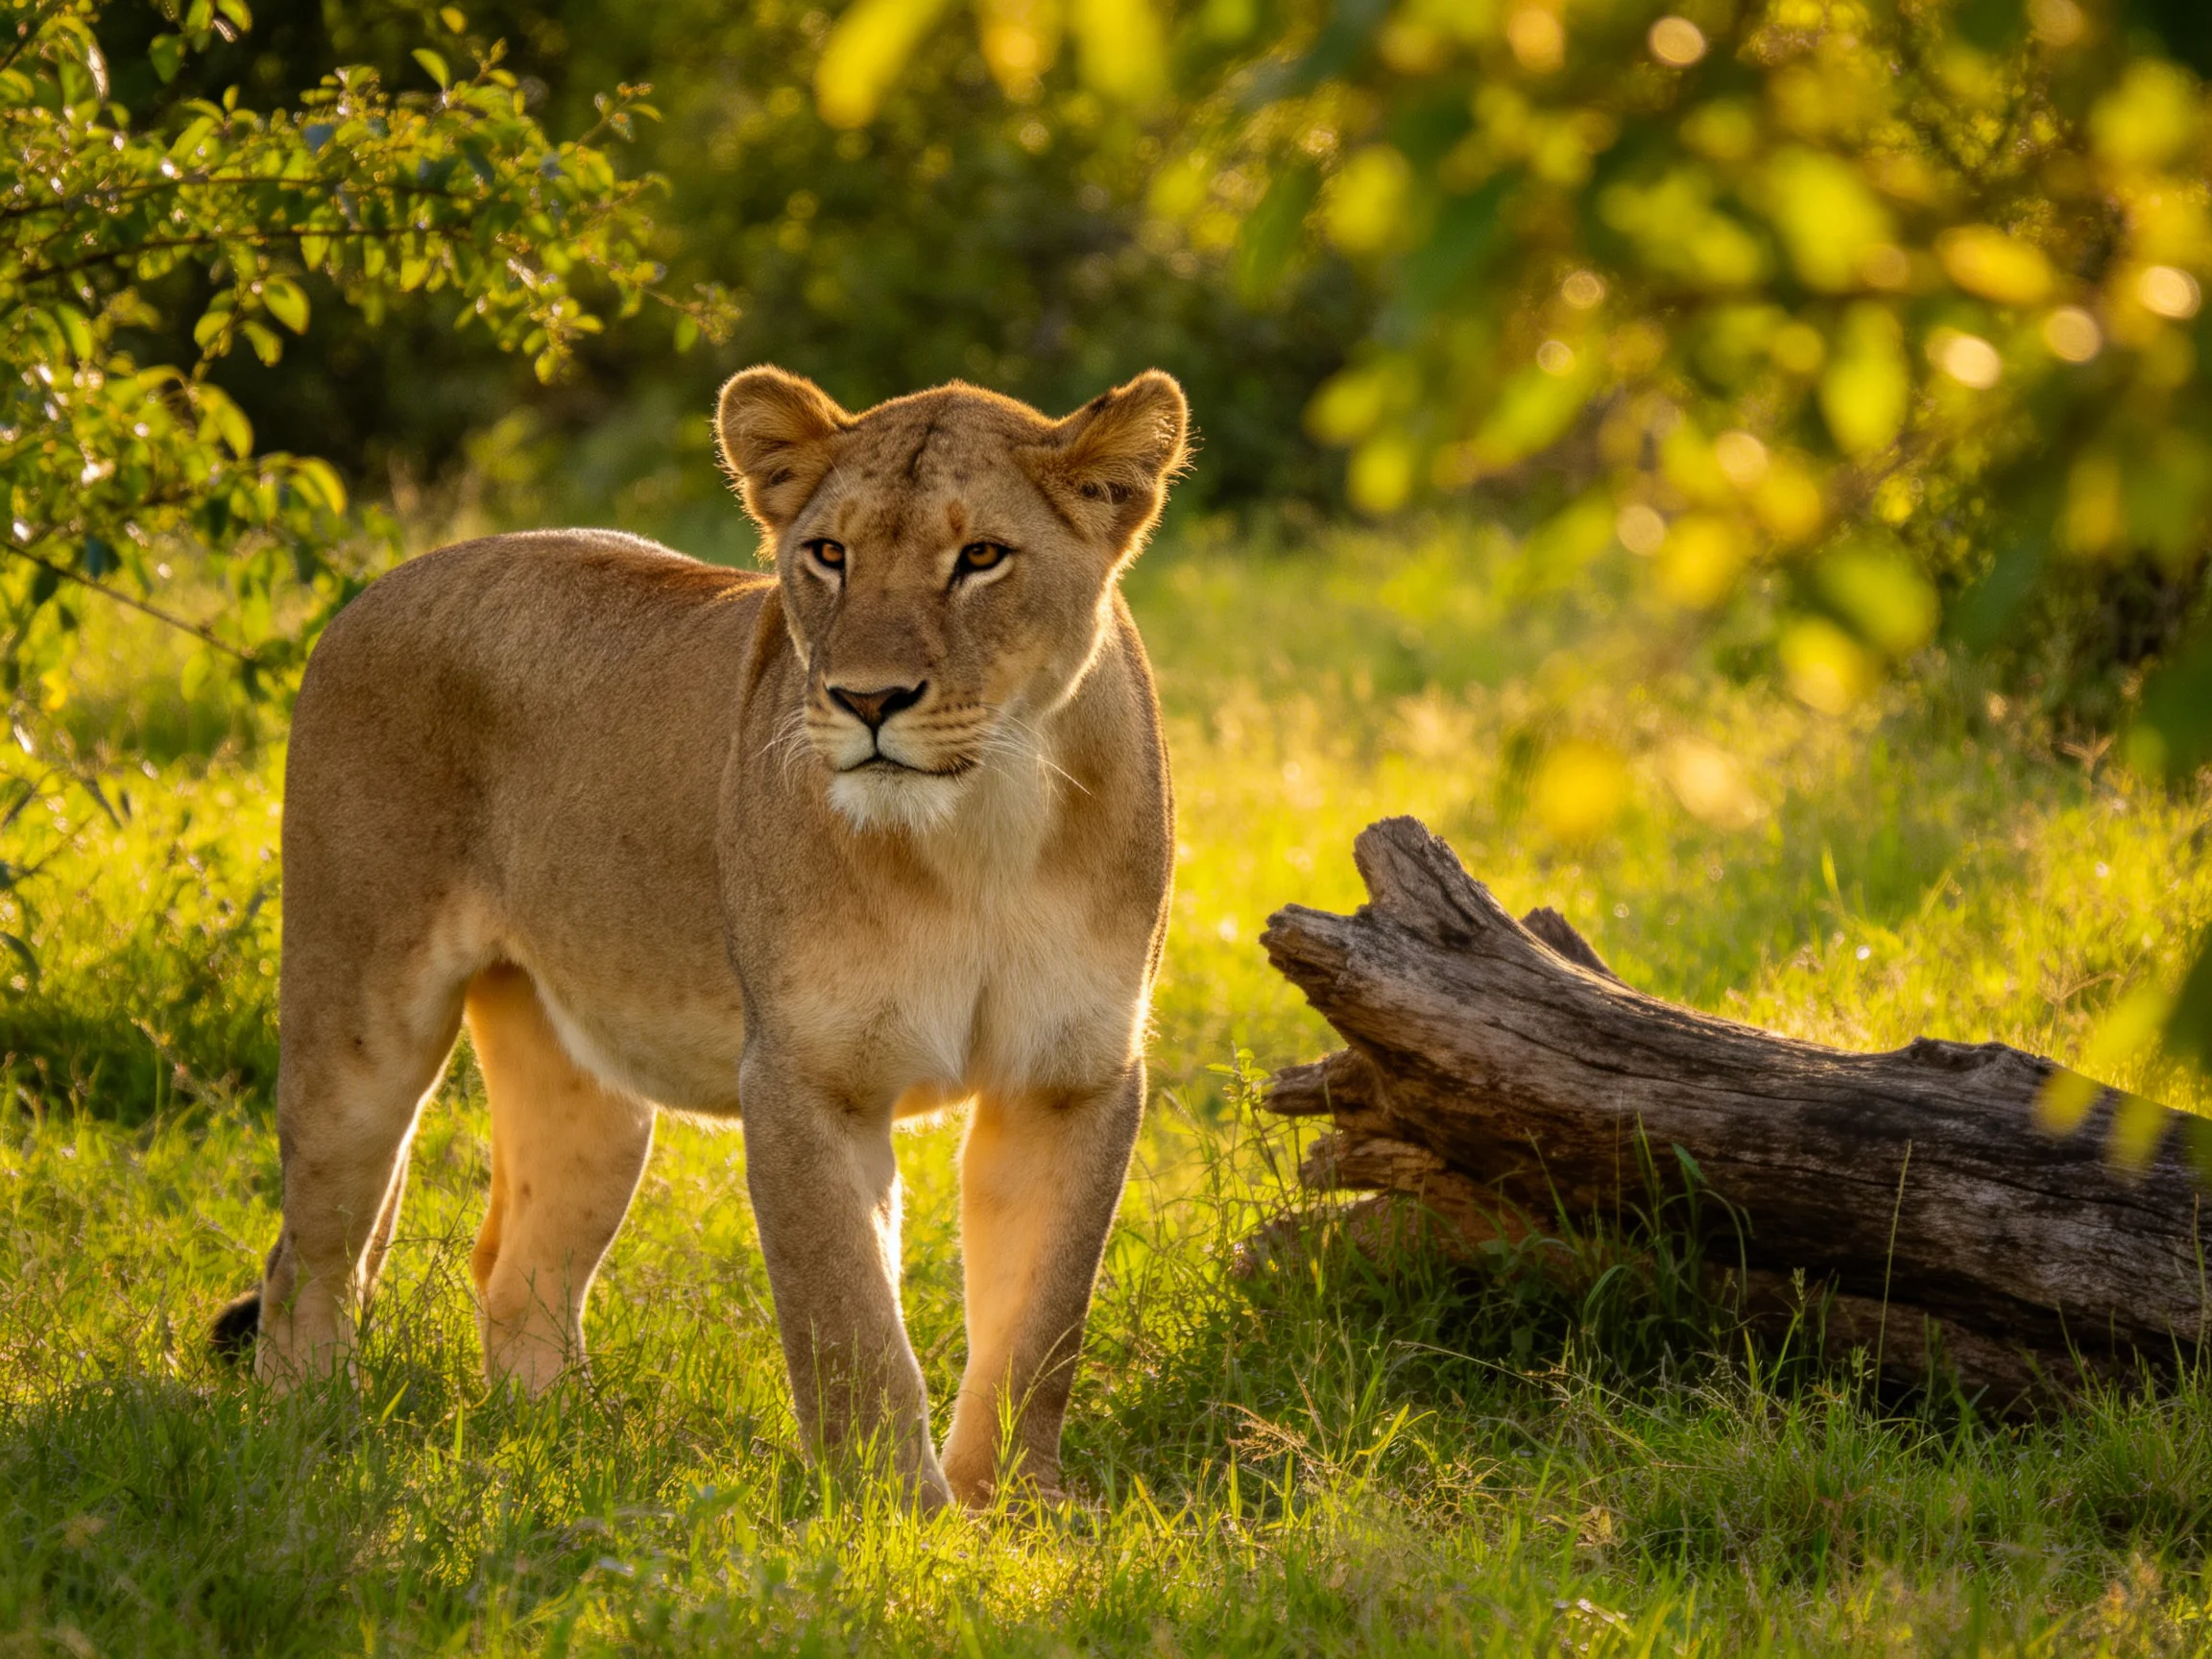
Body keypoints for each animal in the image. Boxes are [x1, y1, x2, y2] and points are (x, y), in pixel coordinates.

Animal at [210, 366, 1188, 1509]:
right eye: (829, 554)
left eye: (982, 556)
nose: (867, 700)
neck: (981, 830)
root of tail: (373, 591)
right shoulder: (806, 1077)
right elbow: (850, 1323)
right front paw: (892, 1519)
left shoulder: (1070, 1079)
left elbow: (1040, 1326)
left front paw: (1010, 1514)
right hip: (358, 1029)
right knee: (309, 1260)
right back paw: (315, 1435)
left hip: (587, 1089)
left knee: (517, 1268)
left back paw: (567, 1454)